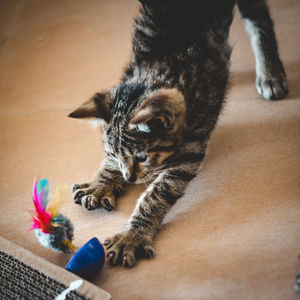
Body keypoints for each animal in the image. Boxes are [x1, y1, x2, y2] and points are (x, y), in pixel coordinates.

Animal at [68, 0, 288, 268]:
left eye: (142, 157)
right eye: (114, 154)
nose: (129, 178)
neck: (163, 64)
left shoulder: (190, 152)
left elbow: (156, 195)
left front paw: (133, 235)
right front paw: (102, 184)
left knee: (260, 19)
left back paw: (270, 73)